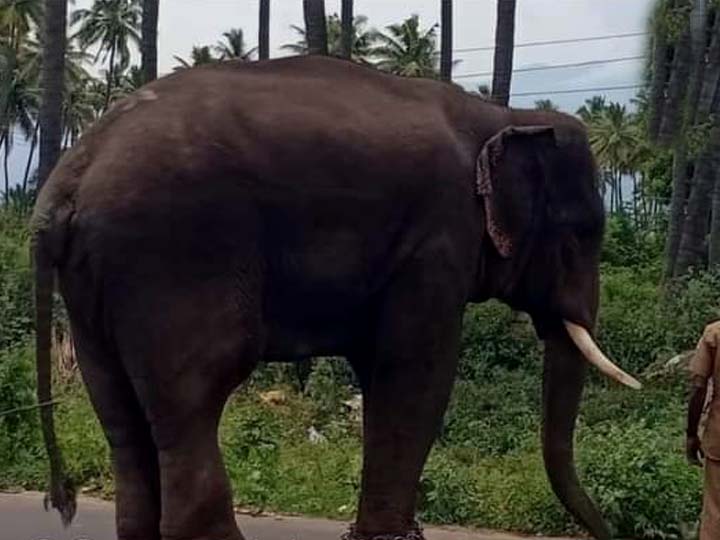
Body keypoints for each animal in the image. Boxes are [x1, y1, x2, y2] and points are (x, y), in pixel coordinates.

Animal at [32, 56, 640, 540]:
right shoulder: (437, 241)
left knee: (122, 422)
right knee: (194, 402)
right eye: (584, 231)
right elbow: (417, 374)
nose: (609, 533)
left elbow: (381, 371)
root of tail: (67, 182)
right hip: (171, 260)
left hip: (92, 292)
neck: (497, 114)